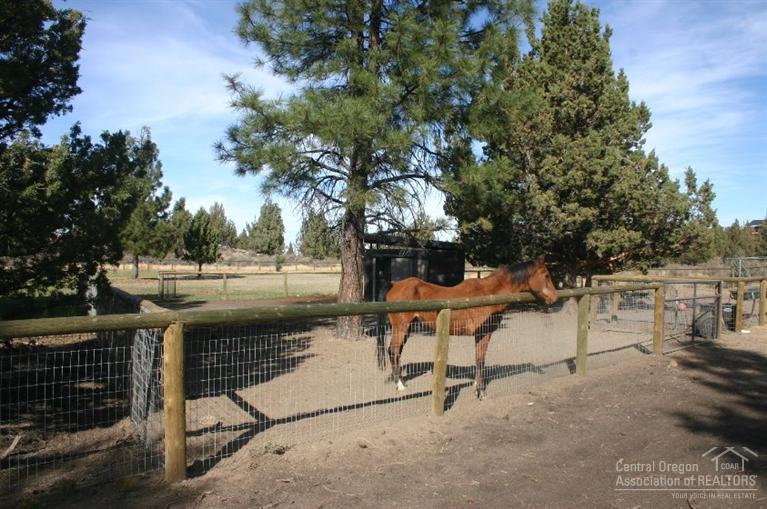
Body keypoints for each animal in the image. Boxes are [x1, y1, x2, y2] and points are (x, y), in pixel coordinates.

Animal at [382, 256, 558, 400]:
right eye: (546, 275)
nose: (555, 298)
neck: (489, 294)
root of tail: (394, 285)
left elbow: (478, 358)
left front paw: (476, 385)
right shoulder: (483, 333)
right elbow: (480, 359)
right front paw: (481, 391)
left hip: (407, 328)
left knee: (396, 351)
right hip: (401, 327)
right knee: (393, 350)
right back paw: (400, 385)